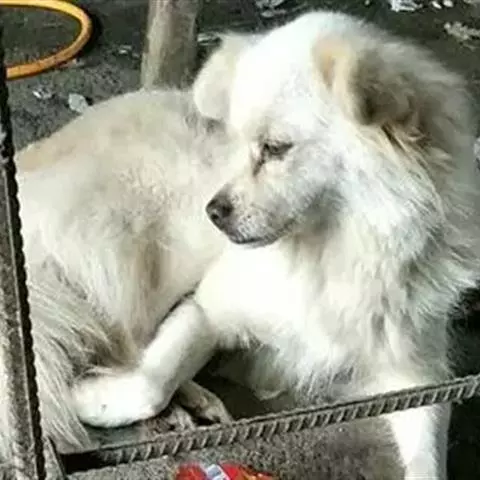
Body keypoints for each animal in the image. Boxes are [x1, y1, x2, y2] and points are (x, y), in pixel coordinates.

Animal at [70, 10, 480, 480]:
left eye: (275, 149)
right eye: (237, 143)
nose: (213, 212)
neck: (328, 258)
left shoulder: (419, 375)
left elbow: (428, 458)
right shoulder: (210, 307)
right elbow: (152, 380)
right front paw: (91, 401)